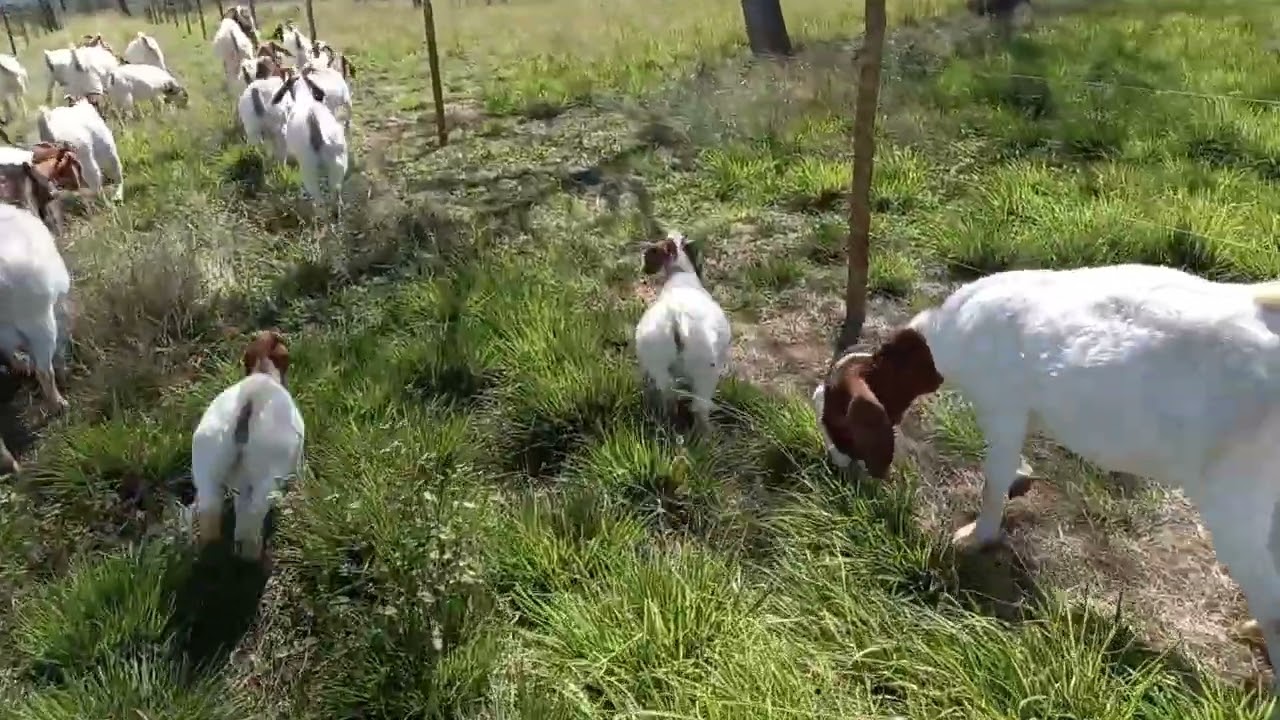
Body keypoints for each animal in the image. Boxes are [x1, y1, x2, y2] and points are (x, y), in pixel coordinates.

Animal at [191, 330, 304, 562]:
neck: (263, 372)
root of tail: (251, 398)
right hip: (268, 471)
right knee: (254, 515)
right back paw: (253, 556)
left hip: (207, 461)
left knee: (210, 511)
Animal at [634, 231, 731, 432]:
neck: (680, 275)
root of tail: (676, 319)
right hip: (705, 371)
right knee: (699, 407)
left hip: (659, 366)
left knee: (669, 395)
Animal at [814, 262, 1280, 701]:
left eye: (835, 419)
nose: (836, 466)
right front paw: (1022, 478)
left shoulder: (1002, 406)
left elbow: (994, 474)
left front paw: (975, 536)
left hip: (1234, 493)